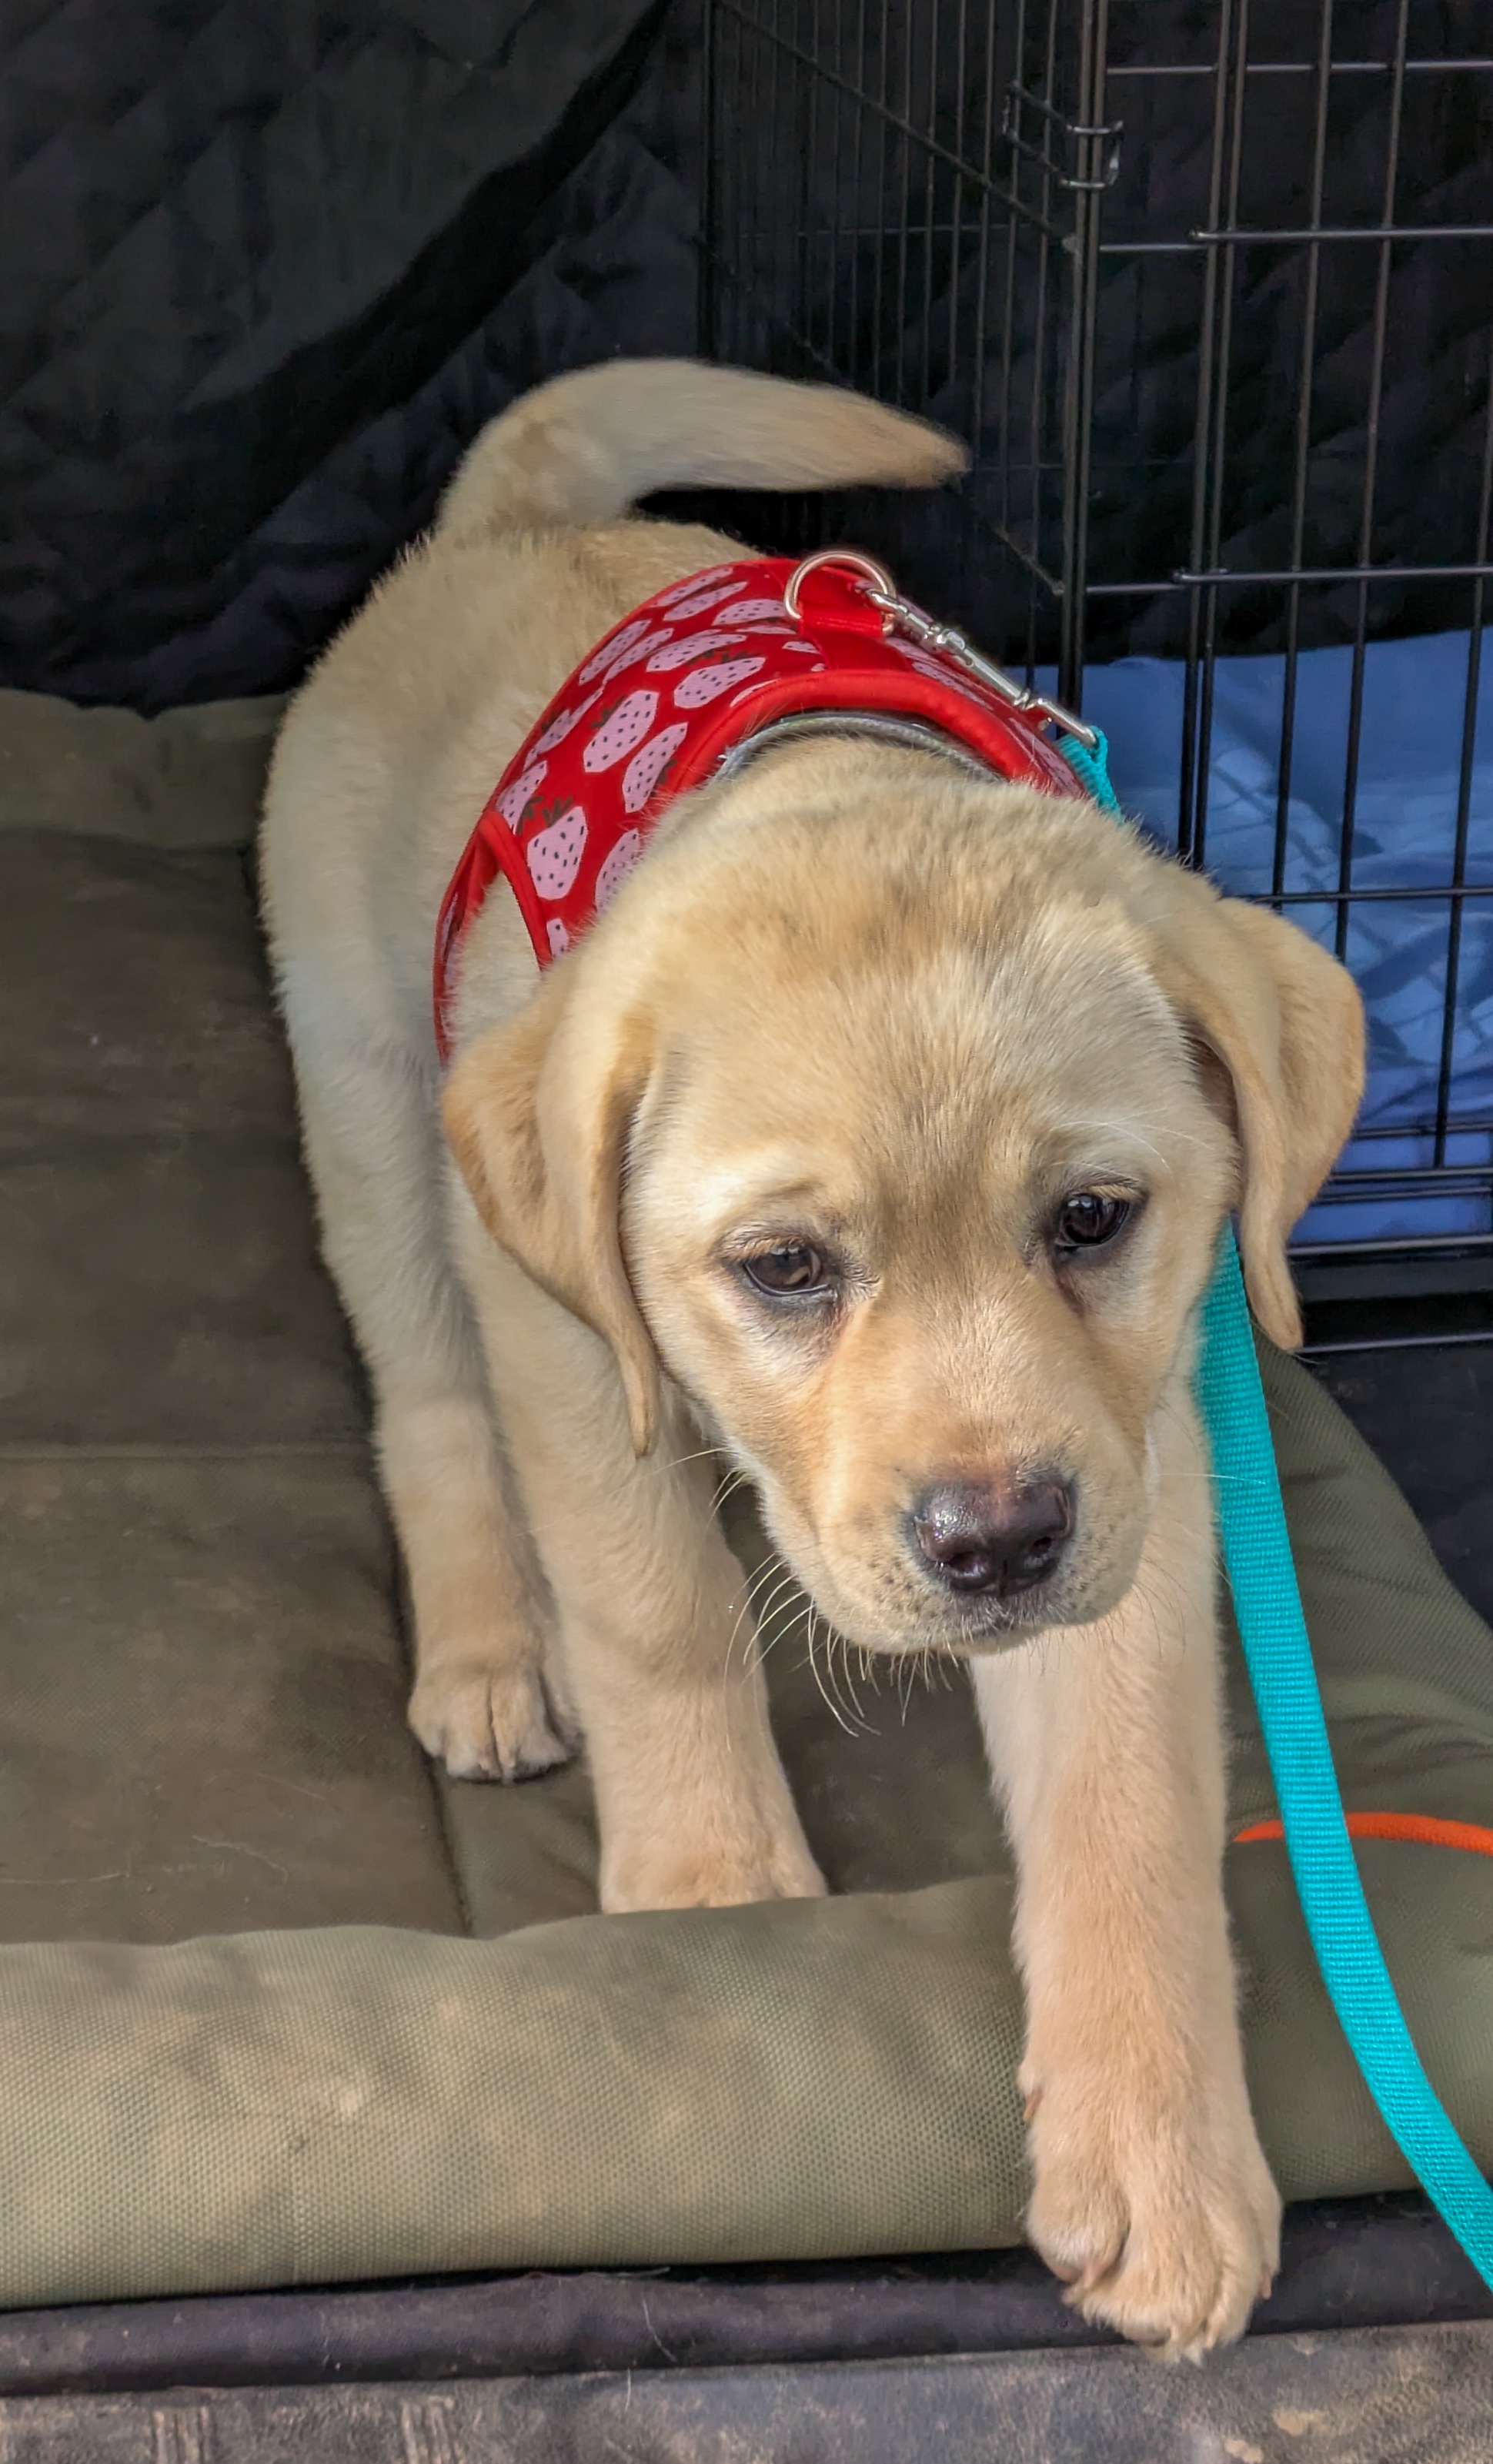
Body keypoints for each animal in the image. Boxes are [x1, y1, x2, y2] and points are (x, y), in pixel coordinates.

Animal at [259, 357, 1369, 2355]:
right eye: (783, 1268)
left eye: (1094, 1219)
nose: (994, 1546)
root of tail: (515, 522)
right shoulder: (569, 1345)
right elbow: (653, 1607)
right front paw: (711, 1891)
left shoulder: (1135, 1454)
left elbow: (1127, 1795)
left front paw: (1160, 2153)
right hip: (376, 1107)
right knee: (432, 1410)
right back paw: (491, 1650)